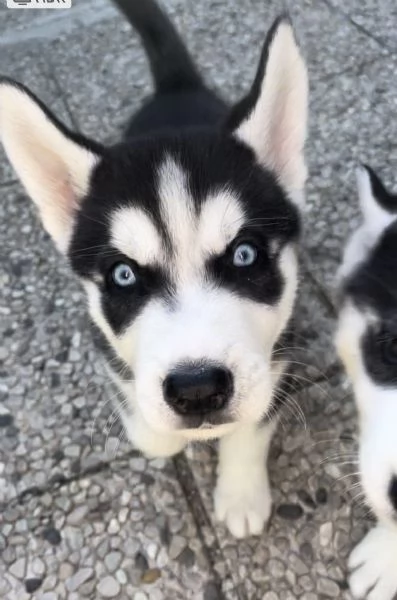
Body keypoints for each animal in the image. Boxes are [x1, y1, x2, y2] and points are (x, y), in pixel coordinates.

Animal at [0, 0, 308, 536]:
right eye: (123, 275)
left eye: (245, 254)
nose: (197, 389)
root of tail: (175, 88)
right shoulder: (104, 340)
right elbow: (147, 424)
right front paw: (160, 435)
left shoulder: (279, 348)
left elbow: (250, 427)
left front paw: (241, 494)